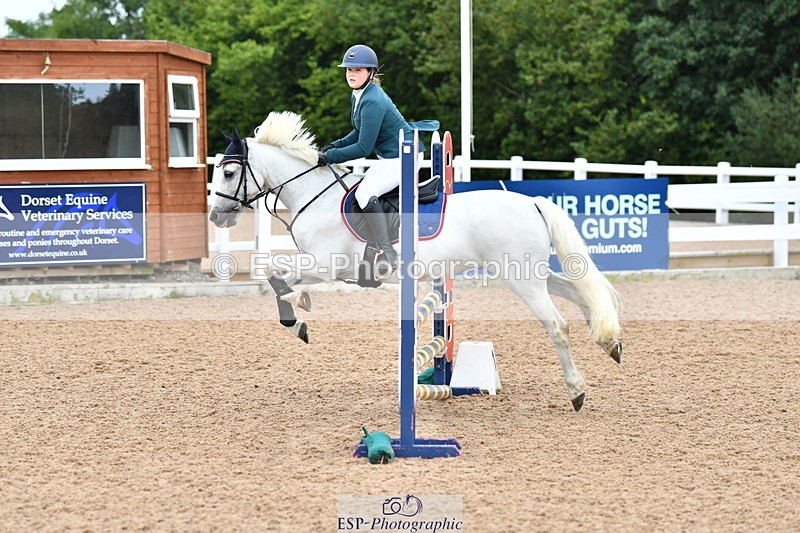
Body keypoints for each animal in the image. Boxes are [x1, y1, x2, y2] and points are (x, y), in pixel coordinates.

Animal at [209, 111, 622, 411]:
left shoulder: (325, 264)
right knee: (580, 294)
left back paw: (577, 391)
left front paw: (299, 314)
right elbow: (277, 278)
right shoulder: (320, 267)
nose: (215, 217)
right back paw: (611, 343)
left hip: (522, 280)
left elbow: (275, 274)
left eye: (228, 172)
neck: (314, 195)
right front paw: (299, 312)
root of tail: (532, 202)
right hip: (529, 273)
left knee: (557, 325)